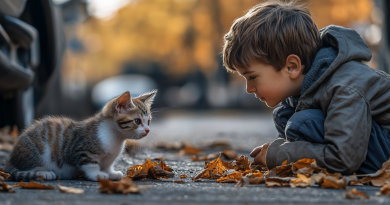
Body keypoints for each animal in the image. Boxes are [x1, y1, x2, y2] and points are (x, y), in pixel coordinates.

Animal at [4, 90, 156, 182]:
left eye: (148, 121)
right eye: (137, 121)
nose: (148, 130)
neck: (116, 137)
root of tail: (11, 158)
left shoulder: (109, 158)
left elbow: (108, 164)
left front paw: (111, 173)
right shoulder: (82, 150)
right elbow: (90, 165)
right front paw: (98, 175)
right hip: (37, 150)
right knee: (28, 168)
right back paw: (44, 173)